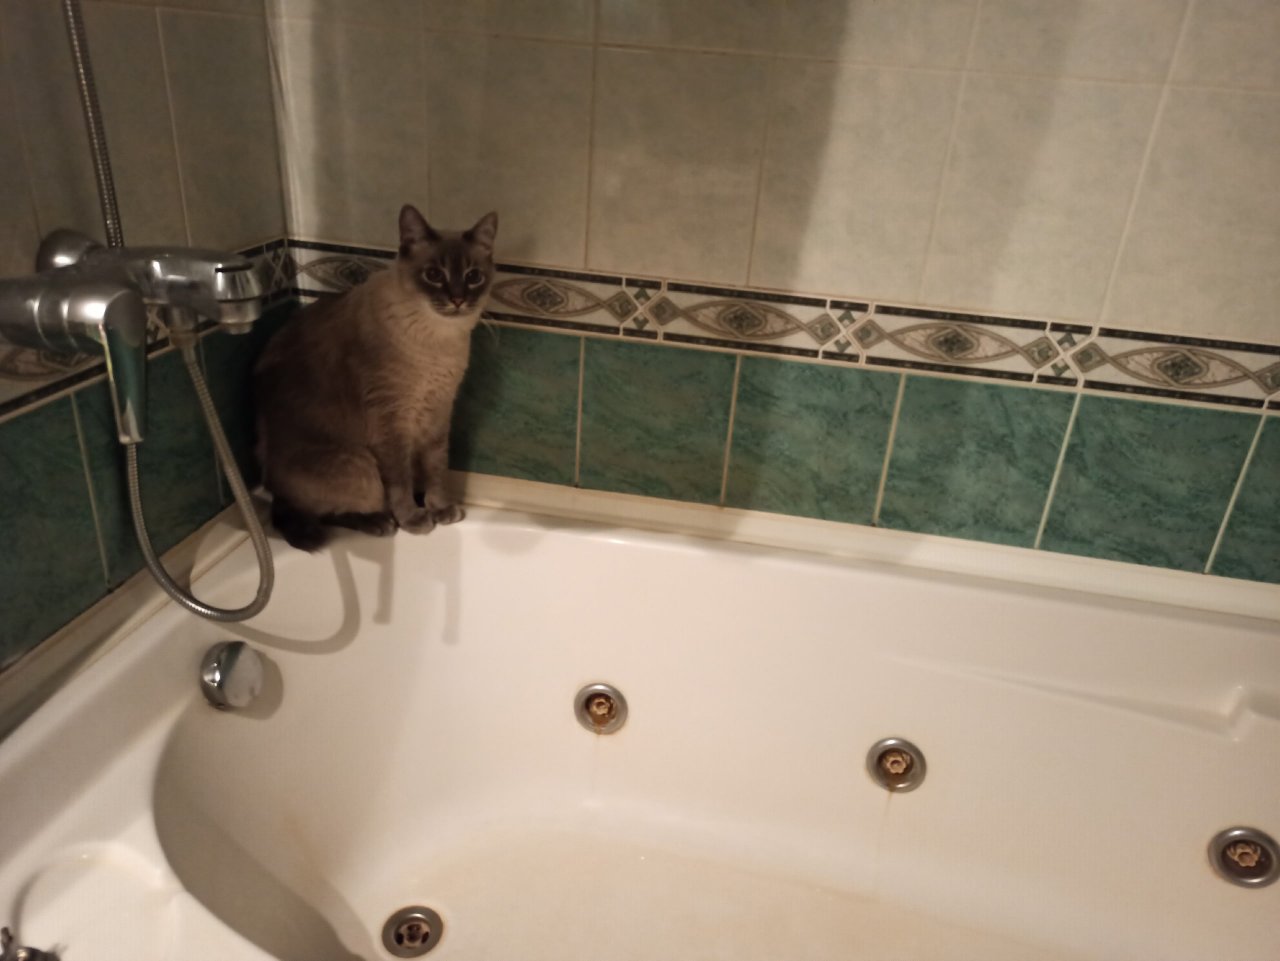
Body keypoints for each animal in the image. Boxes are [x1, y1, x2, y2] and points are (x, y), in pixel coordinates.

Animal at [254, 204, 497, 551]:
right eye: (434, 275)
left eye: (473, 277)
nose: (458, 299)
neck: (437, 341)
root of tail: (272, 487)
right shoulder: (391, 421)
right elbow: (400, 480)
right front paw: (414, 519)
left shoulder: (438, 411)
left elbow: (436, 467)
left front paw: (439, 509)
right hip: (361, 468)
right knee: (324, 512)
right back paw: (381, 522)